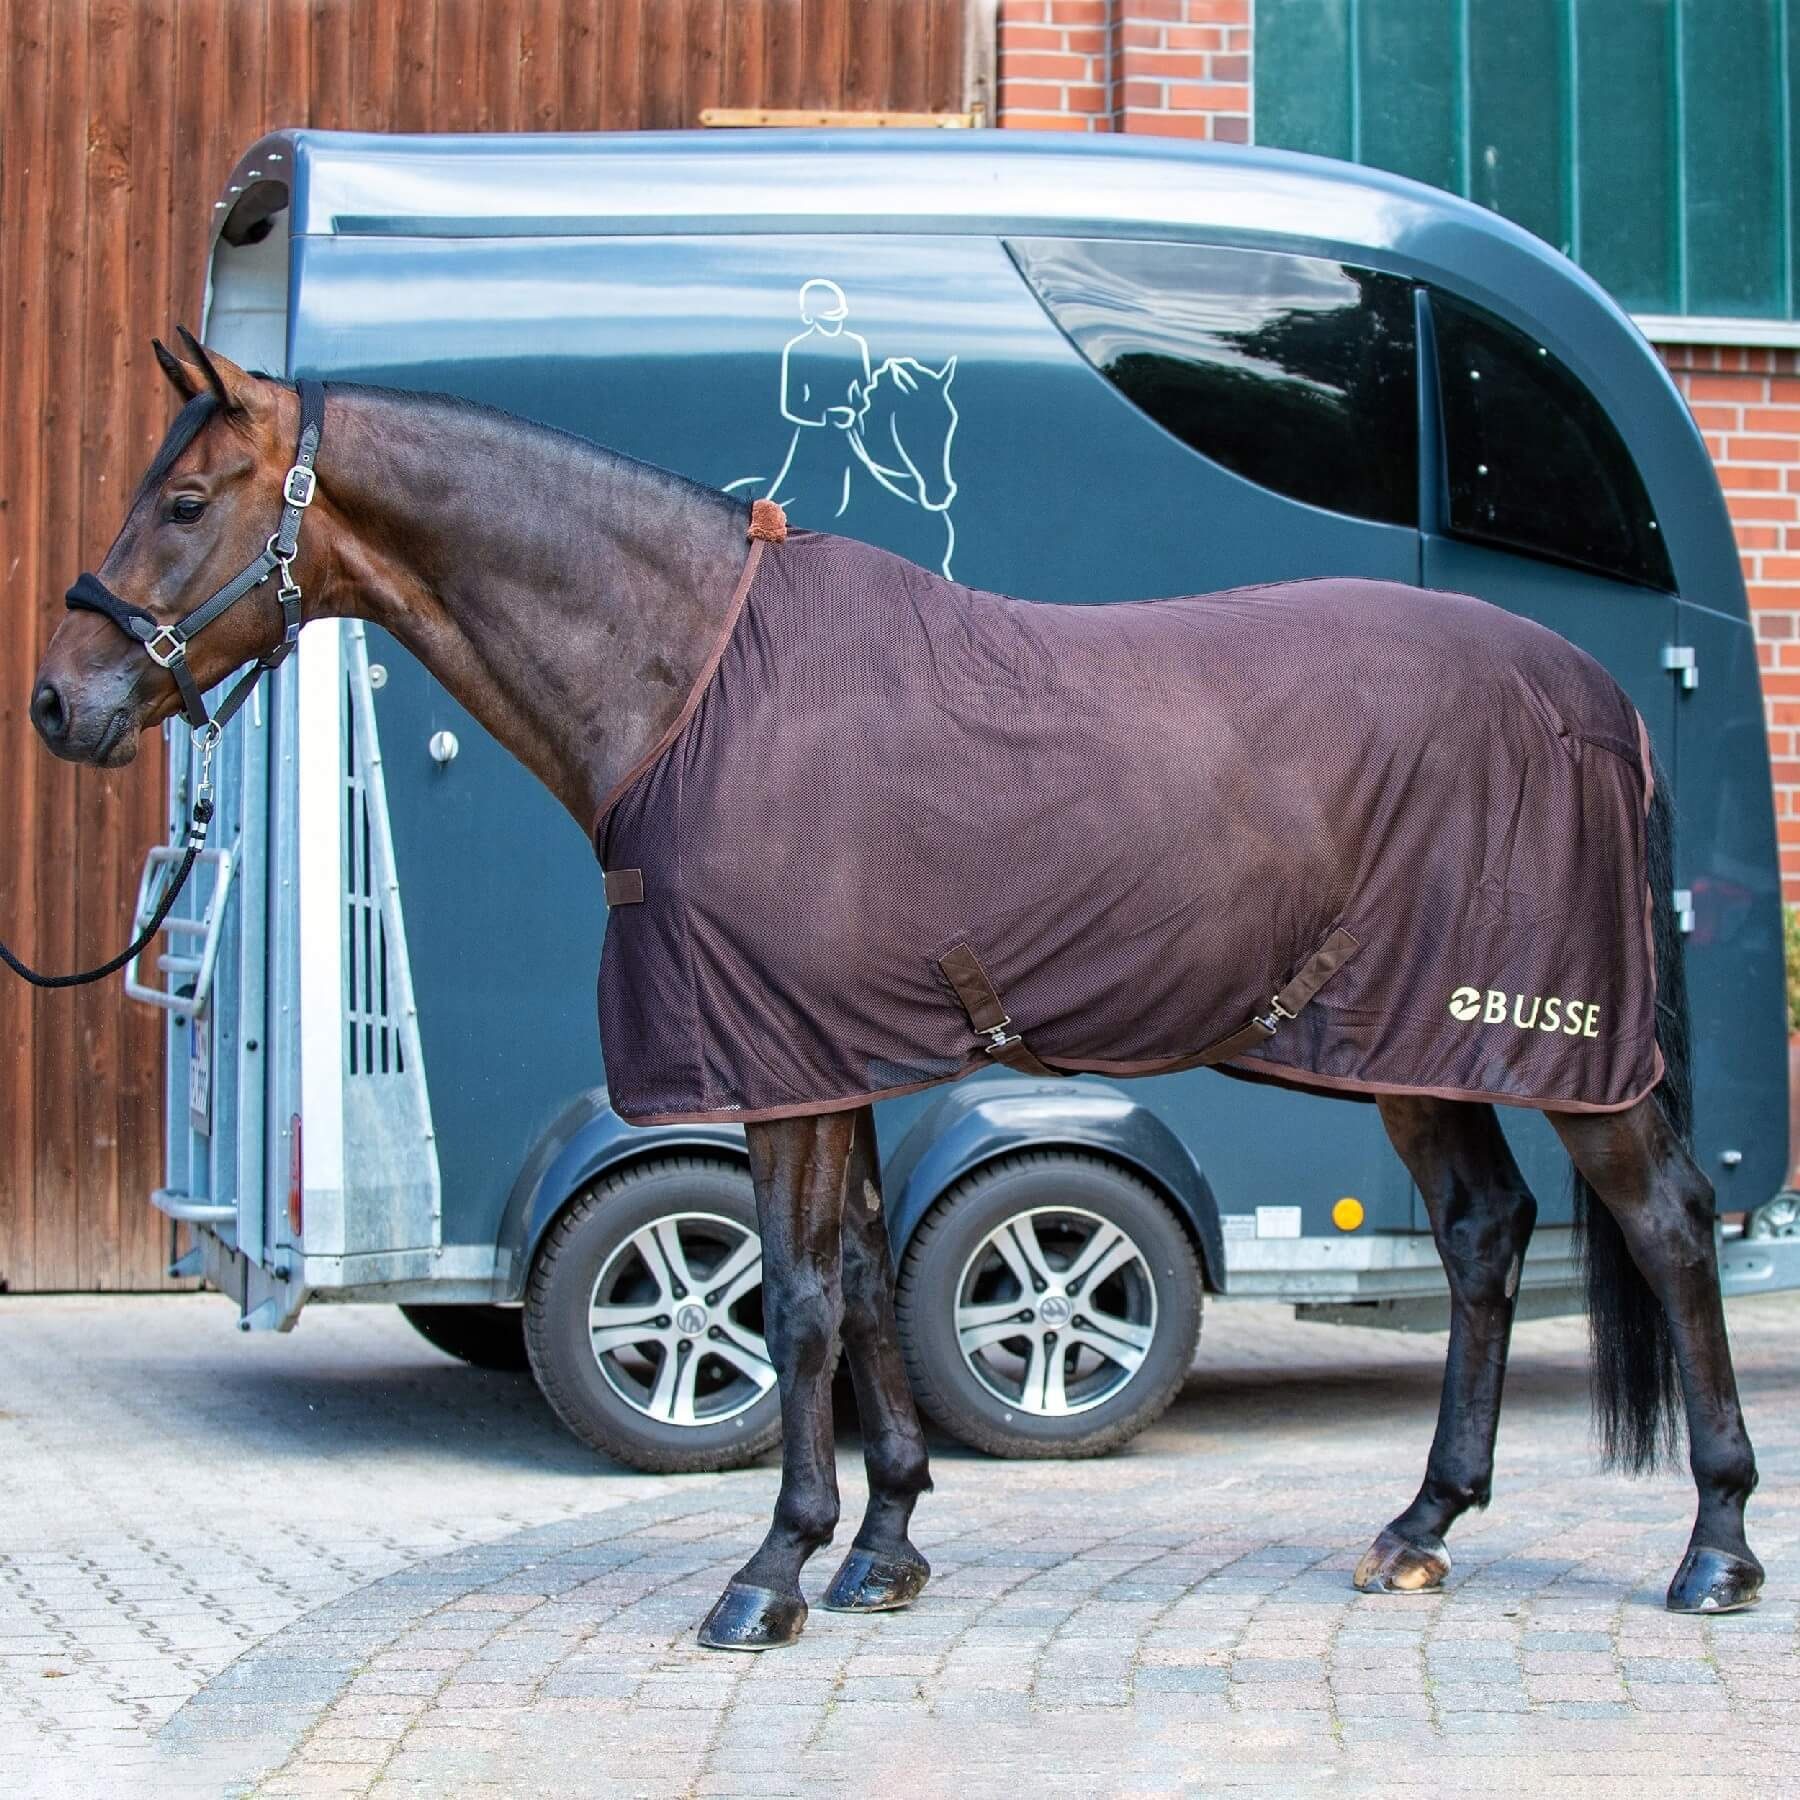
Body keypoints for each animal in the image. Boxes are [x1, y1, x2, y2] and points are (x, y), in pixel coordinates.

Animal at [28, 339, 1763, 1654]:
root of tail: (1597, 698)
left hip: (1564, 1055)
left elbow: (793, 1299)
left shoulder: (776, 1064)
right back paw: (1422, 1523)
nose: (61, 701)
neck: (693, 683)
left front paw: (770, 1573)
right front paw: (884, 1550)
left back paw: (1716, 1547)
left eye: (184, 499)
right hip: (1415, 1050)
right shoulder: (830, 1057)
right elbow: (861, 1282)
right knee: (1481, 1236)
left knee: (1670, 1228)